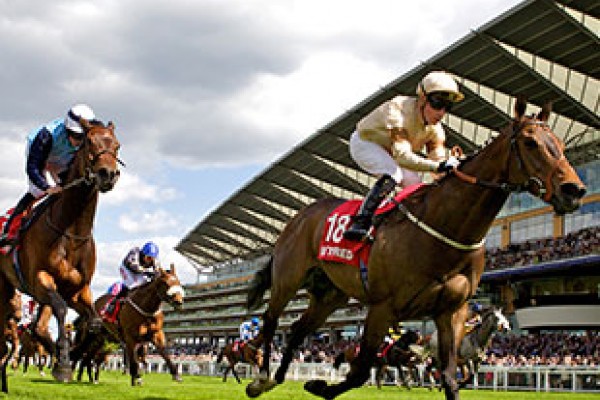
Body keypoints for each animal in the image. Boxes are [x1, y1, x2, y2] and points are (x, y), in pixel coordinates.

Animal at [0, 118, 122, 390]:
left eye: (117, 145)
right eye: (89, 141)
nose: (108, 174)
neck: (72, 232)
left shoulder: (79, 289)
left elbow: (94, 322)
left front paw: (68, 357)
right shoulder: (40, 279)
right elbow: (61, 310)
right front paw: (65, 363)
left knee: (35, 328)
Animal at [244, 97, 584, 400]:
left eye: (559, 142)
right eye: (530, 143)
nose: (574, 190)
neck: (445, 227)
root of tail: (299, 216)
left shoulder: (451, 311)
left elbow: (449, 377)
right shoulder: (383, 307)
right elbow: (359, 371)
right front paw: (319, 385)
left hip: (330, 294)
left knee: (297, 329)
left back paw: (274, 378)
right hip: (288, 277)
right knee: (272, 320)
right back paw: (259, 378)